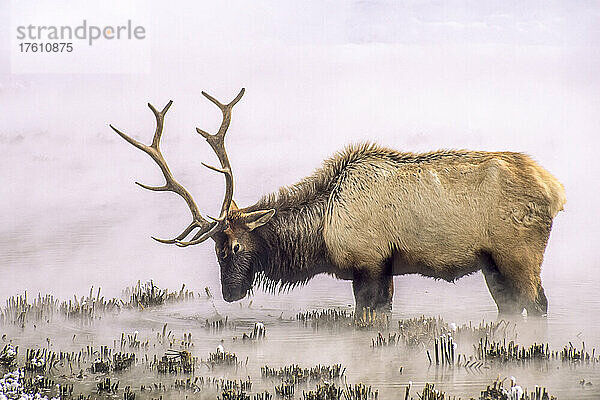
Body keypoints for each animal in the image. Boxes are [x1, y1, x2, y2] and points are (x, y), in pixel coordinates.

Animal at [110, 90, 564, 316]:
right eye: (214, 249)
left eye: (234, 246)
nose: (230, 294)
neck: (323, 232)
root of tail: (556, 190)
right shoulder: (382, 270)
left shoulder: (370, 264)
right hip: (492, 263)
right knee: (511, 308)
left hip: (519, 254)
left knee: (537, 304)